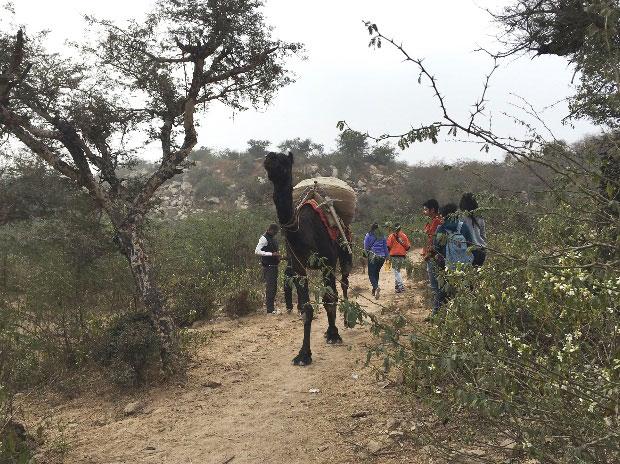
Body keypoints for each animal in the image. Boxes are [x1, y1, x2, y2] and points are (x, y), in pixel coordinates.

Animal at [262, 152, 352, 366]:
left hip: (344, 252)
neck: (301, 230)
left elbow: (329, 299)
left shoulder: (327, 262)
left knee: (343, 284)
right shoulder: (298, 266)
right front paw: (303, 354)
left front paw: (334, 335)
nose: (268, 157)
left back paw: (345, 323)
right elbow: (305, 307)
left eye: (284, 161)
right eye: (270, 155)